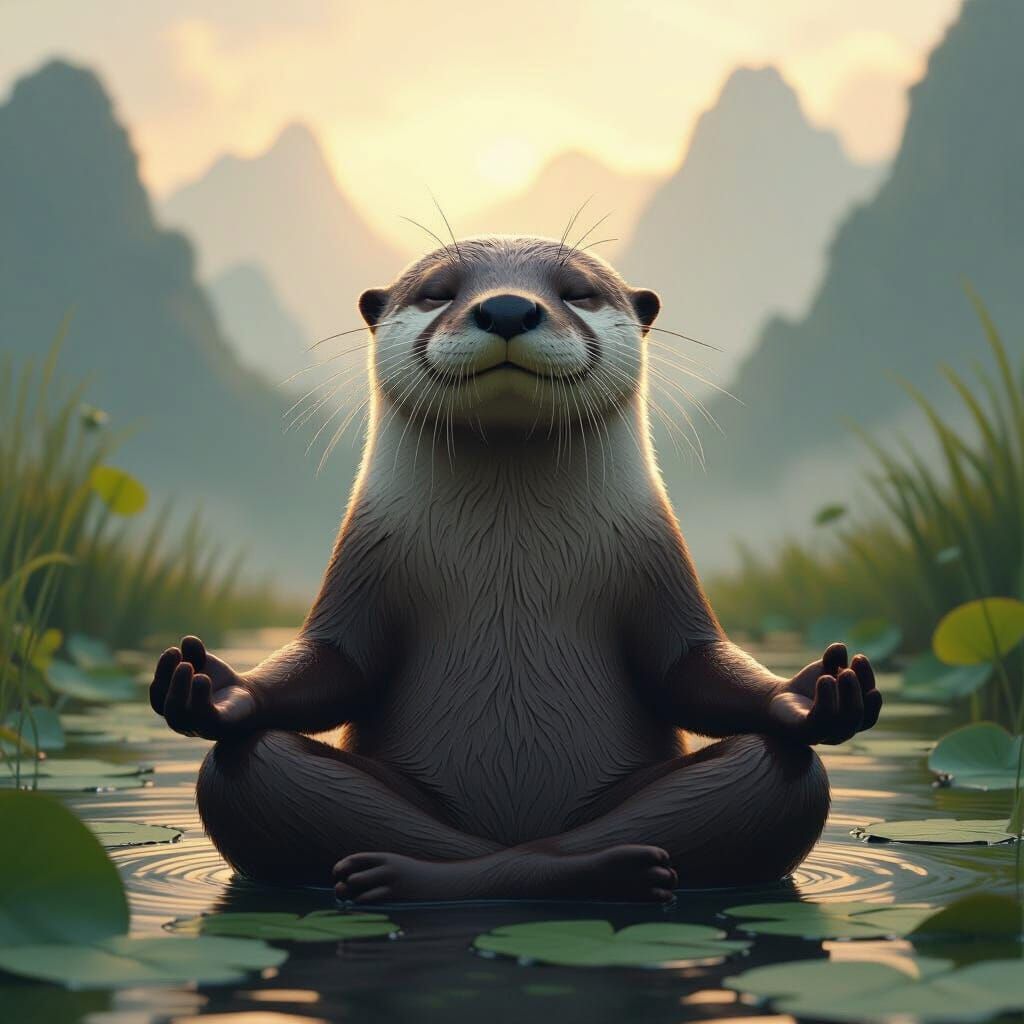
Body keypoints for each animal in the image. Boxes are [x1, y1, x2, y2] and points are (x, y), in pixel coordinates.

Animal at [151, 236, 881, 902]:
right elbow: (339, 662)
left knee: (774, 769)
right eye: (438, 292)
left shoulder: (660, 560)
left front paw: (807, 694)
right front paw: (221, 689)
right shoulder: (362, 559)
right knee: (257, 765)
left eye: (578, 292)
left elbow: (686, 665)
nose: (506, 306)